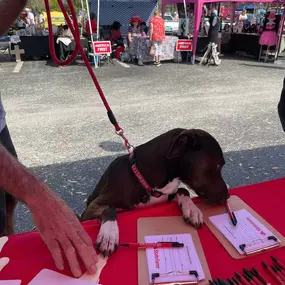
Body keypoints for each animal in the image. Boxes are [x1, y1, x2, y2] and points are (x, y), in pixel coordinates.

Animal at [80, 128, 229, 255]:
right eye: (218, 165)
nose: (227, 196)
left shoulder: (166, 195)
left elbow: (183, 190)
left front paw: (192, 210)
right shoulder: (90, 210)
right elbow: (109, 208)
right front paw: (109, 235)